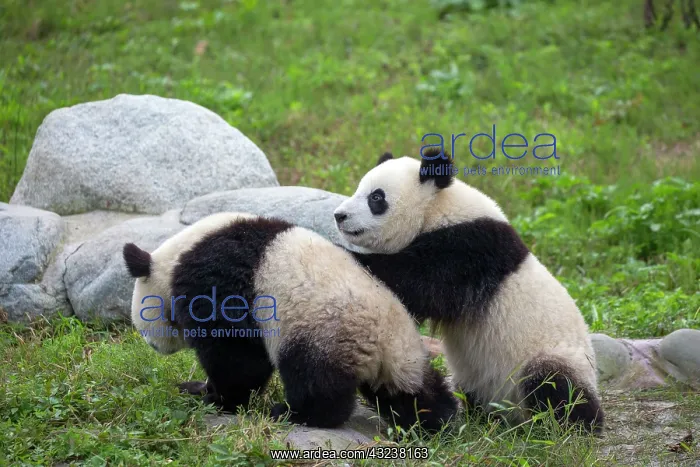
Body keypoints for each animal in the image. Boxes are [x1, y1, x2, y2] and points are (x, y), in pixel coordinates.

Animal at [123, 211, 457, 430]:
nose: (154, 346)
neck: (180, 253)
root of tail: (387, 345)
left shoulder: (218, 278)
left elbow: (236, 354)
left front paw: (218, 398)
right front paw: (197, 388)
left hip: (325, 330)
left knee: (313, 378)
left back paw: (293, 413)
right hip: (403, 360)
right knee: (414, 394)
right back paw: (439, 422)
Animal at [333, 149, 604, 434]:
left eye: (376, 197)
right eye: (358, 188)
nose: (339, 216)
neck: (437, 208)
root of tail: (513, 411)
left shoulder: (470, 249)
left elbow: (417, 282)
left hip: (554, 355)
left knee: (554, 384)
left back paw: (571, 425)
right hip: (479, 379)